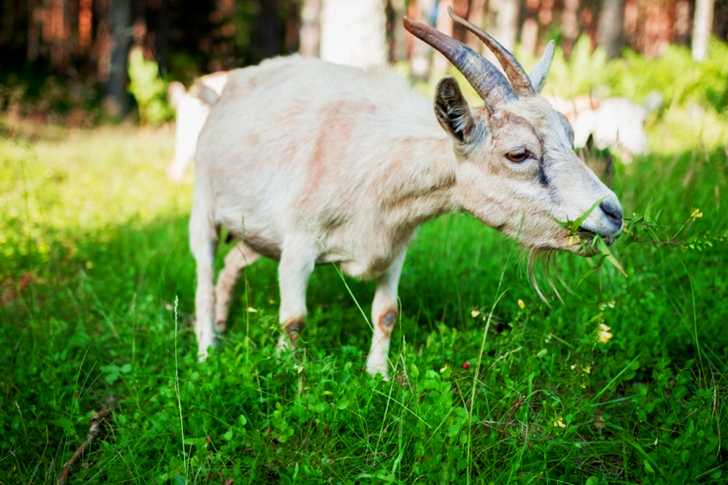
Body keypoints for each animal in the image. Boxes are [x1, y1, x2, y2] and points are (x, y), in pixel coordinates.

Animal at [189, 9, 623, 378]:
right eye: (518, 153)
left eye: (570, 135)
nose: (613, 213)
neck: (377, 162)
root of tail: (221, 95)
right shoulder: (298, 245)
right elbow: (294, 319)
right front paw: (289, 377)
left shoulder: (394, 247)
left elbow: (386, 313)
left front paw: (377, 378)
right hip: (204, 206)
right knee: (205, 276)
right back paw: (207, 351)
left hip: (256, 233)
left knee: (231, 266)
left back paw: (224, 326)